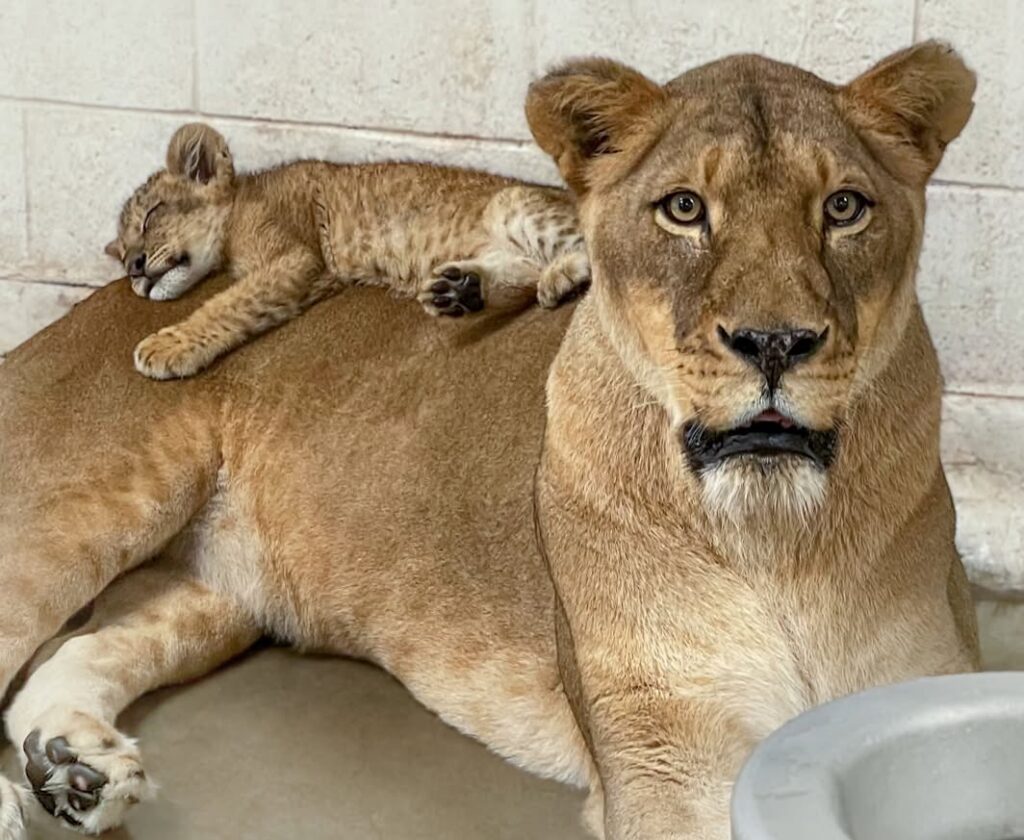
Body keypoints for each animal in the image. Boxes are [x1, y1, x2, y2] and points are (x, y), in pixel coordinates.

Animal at [106, 123, 589, 380]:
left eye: (151, 216)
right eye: (124, 250)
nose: (134, 268)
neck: (240, 202)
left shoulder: (296, 257)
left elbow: (227, 305)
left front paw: (166, 346)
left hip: (514, 203)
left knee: (590, 252)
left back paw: (562, 276)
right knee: (522, 271)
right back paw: (460, 291)